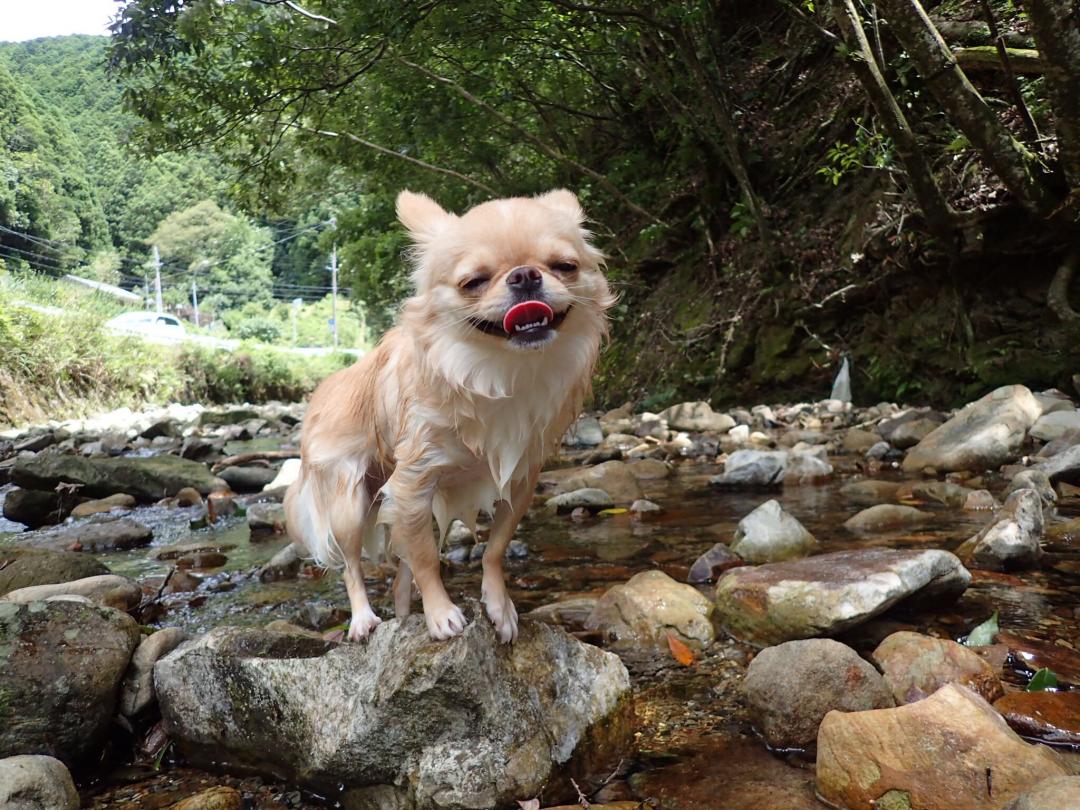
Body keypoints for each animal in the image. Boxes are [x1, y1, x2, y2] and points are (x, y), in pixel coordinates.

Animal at [282, 186, 613, 643]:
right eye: (473, 282)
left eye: (565, 267)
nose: (525, 275)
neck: (502, 370)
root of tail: (321, 391)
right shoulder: (414, 482)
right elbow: (425, 558)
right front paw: (441, 614)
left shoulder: (518, 480)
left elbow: (494, 548)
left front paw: (499, 605)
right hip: (350, 500)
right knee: (351, 564)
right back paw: (364, 618)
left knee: (399, 571)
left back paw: (405, 613)